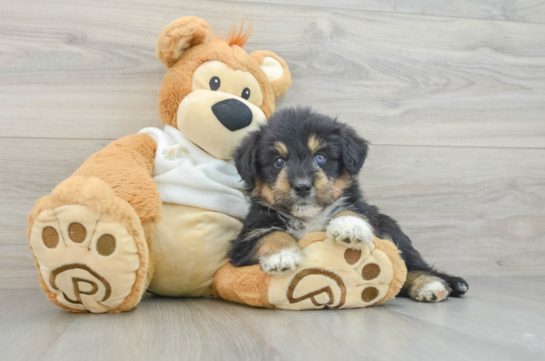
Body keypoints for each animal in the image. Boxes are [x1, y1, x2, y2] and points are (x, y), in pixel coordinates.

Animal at [230, 106, 468, 300]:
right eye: (278, 162)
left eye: (320, 157)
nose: (303, 186)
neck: (308, 217)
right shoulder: (245, 239)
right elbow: (271, 234)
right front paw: (282, 256)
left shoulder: (362, 211)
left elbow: (348, 210)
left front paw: (349, 226)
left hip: (391, 229)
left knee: (410, 266)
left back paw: (429, 285)